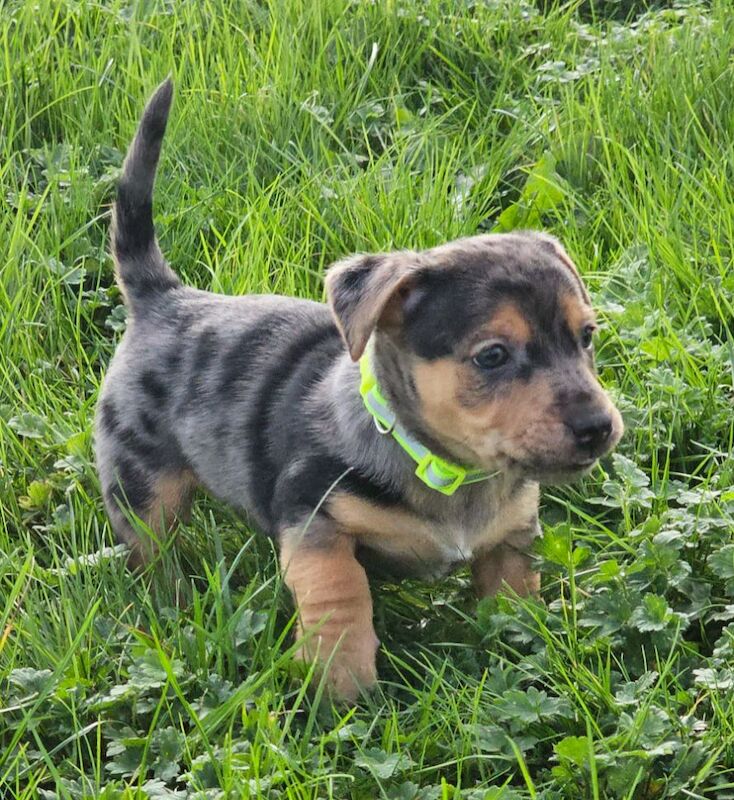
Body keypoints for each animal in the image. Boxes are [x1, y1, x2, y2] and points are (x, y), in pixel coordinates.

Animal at [95, 81, 624, 700]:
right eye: (492, 356)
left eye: (586, 337)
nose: (598, 428)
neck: (443, 468)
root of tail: (166, 299)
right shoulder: (315, 525)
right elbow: (340, 594)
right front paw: (341, 685)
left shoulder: (511, 540)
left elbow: (514, 600)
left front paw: (526, 652)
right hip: (140, 483)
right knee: (151, 551)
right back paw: (173, 607)